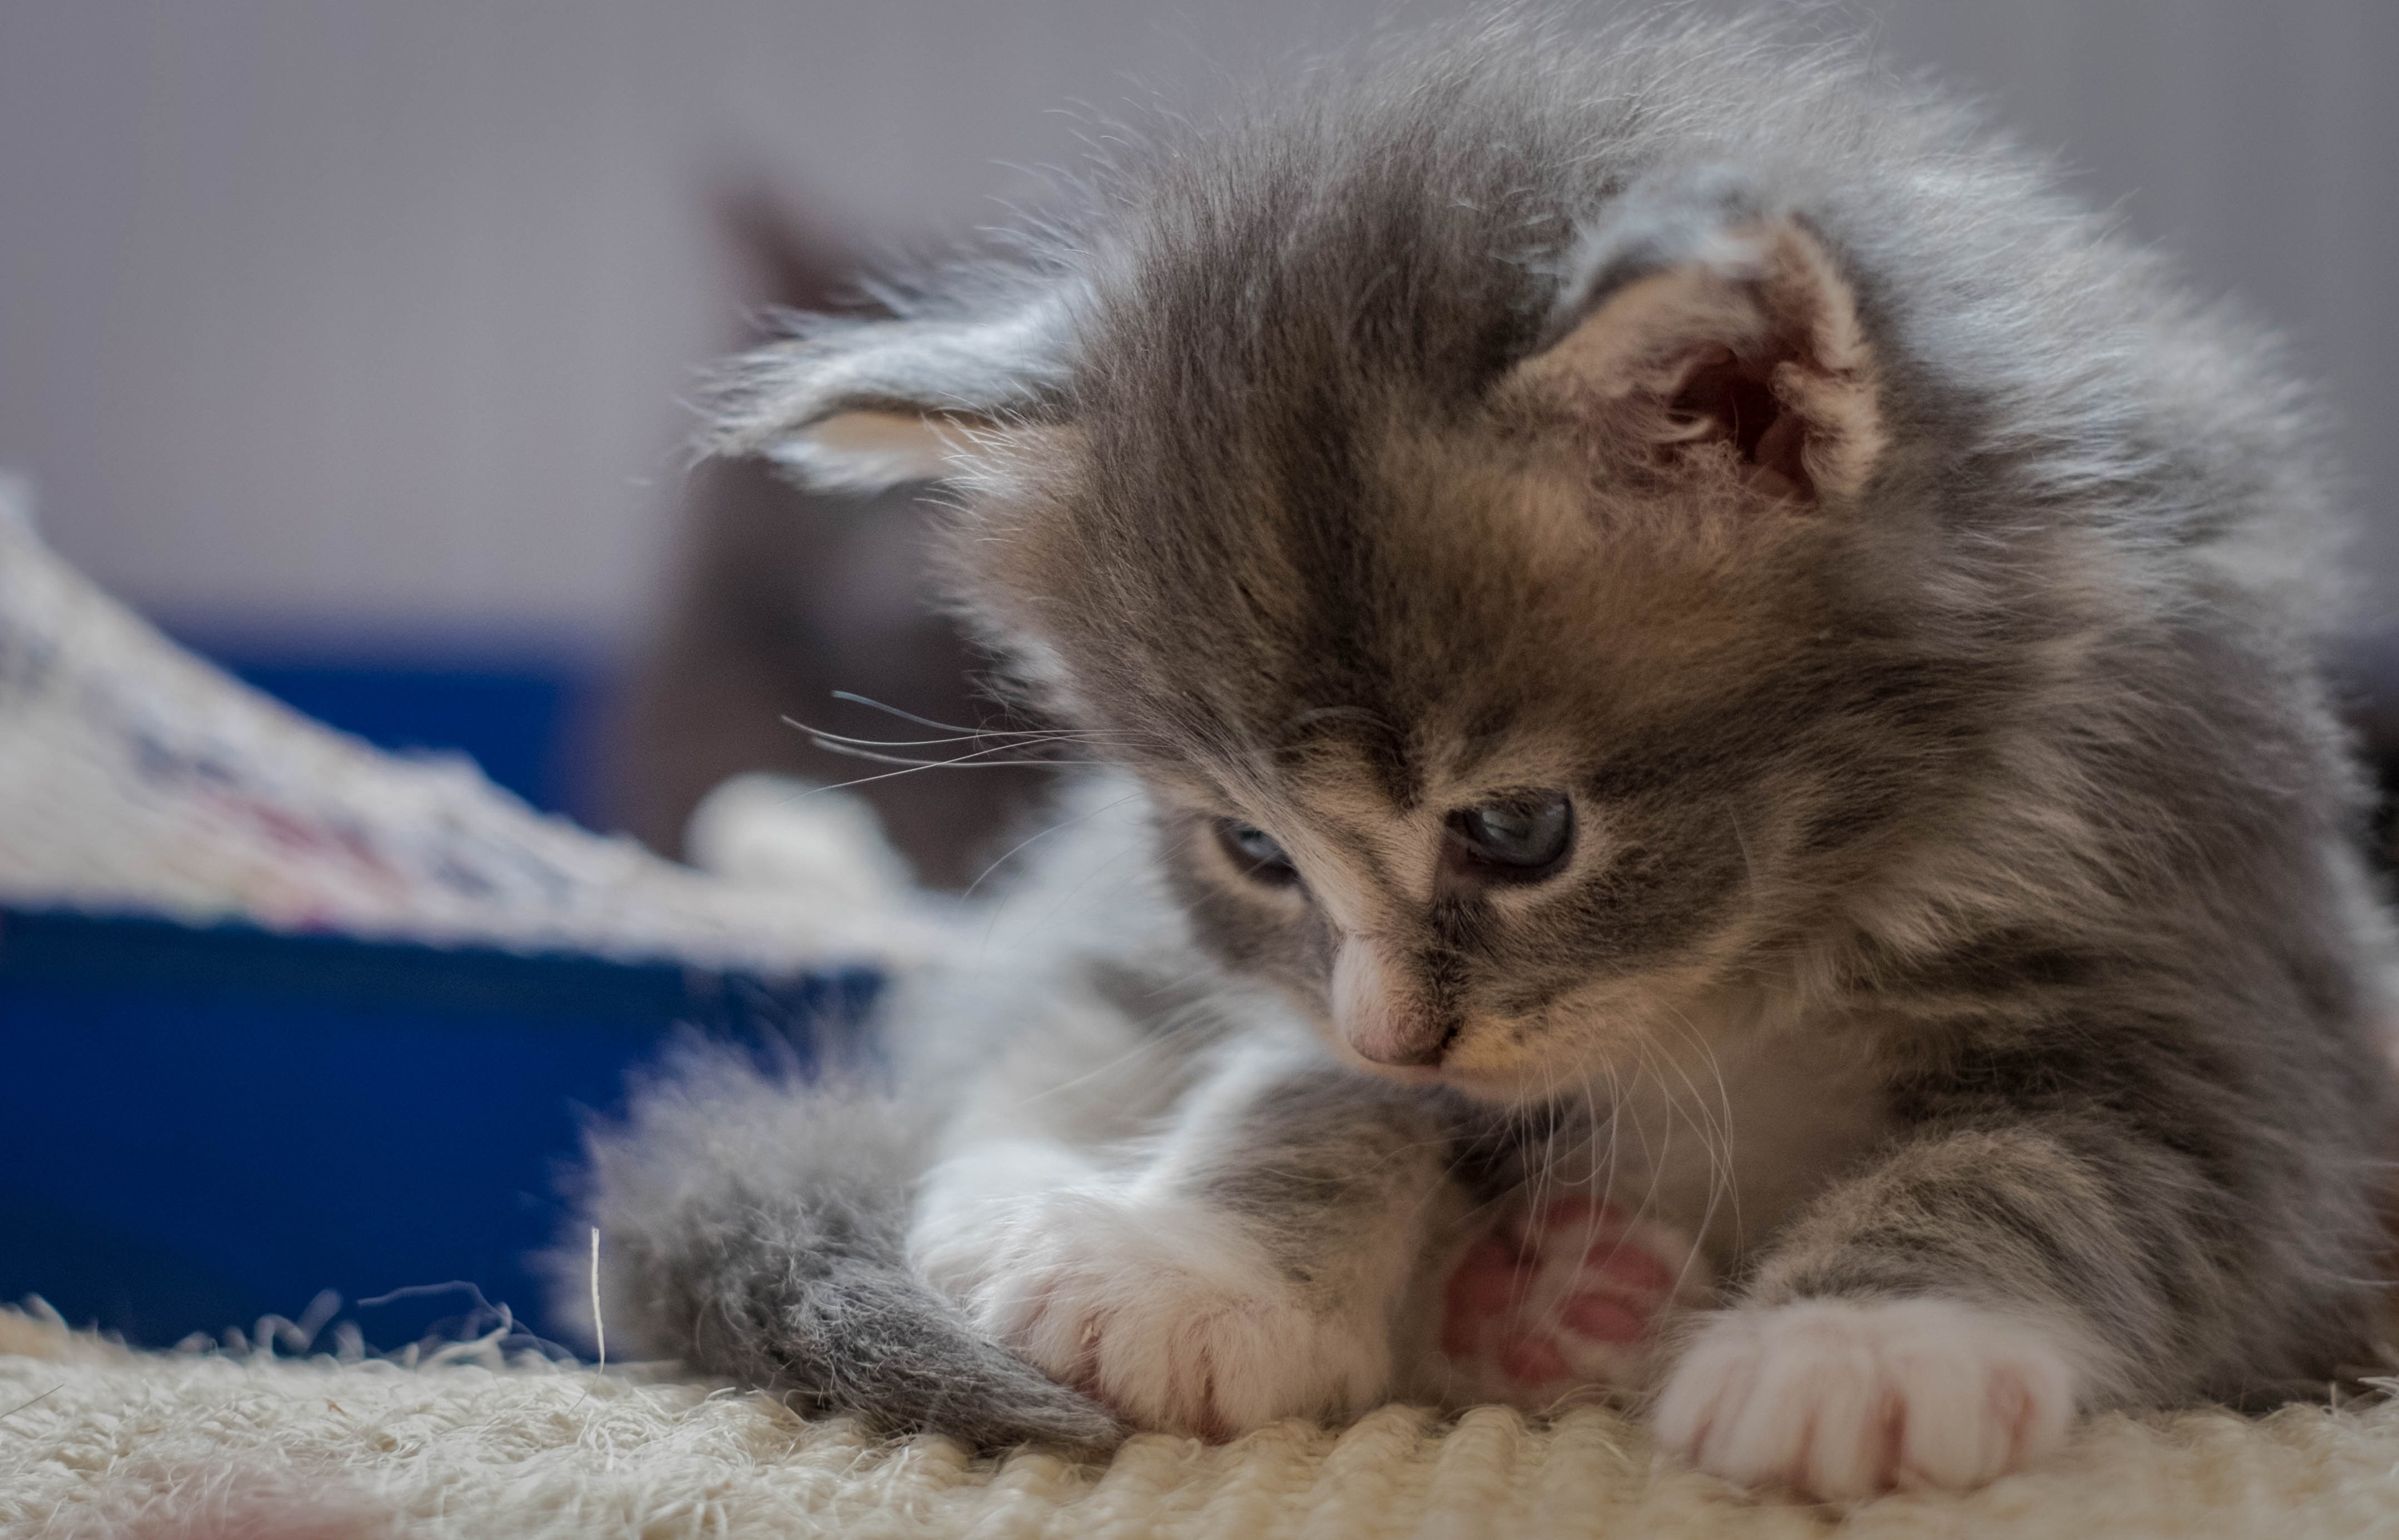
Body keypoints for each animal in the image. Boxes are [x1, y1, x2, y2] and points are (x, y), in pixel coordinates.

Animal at [566, 14, 2399, 1497]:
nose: (1403, 1034)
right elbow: (1299, 1071)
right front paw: (1188, 1268)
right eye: (1253, 852)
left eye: (1518, 832)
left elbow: (2051, 1161)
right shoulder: (1300, 995)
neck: (1773, 950)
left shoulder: (2233, 1005)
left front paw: (1868, 1350)